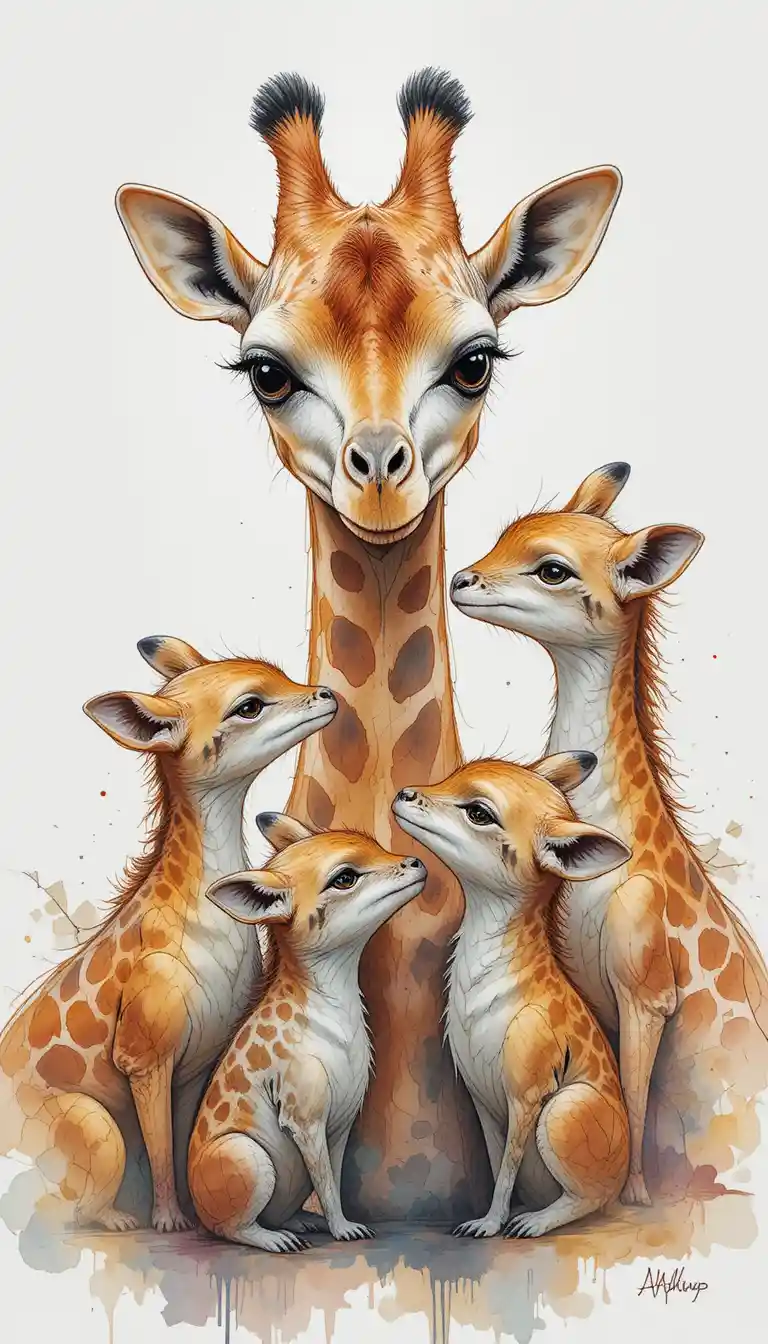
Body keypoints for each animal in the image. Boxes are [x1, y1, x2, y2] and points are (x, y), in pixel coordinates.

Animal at [0, 638, 336, 1230]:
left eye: (280, 673)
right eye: (249, 704)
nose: (327, 694)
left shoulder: (195, 1061)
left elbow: (178, 1143)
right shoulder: (144, 1055)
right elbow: (157, 1146)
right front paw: (170, 1221)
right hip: (93, 1124)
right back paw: (118, 1218)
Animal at [188, 818, 426, 1253]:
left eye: (376, 845)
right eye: (345, 877)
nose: (415, 861)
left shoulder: (339, 1122)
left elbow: (331, 1177)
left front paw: (339, 1222)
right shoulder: (304, 1117)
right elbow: (327, 1183)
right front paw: (344, 1230)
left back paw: (301, 1221)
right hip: (248, 1156)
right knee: (229, 1227)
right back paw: (275, 1238)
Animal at [393, 753, 631, 1237]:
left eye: (479, 812)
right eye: (453, 775)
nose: (405, 793)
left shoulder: (526, 1095)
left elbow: (506, 1169)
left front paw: (489, 1225)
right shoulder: (484, 1100)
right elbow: (498, 1163)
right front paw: (488, 1217)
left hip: (562, 1110)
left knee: (593, 1197)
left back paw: (537, 1221)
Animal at [451, 464, 768, 1204]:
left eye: (553, 568)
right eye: (503, 535)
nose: (462, 579)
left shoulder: (646, 989)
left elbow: (630, 1090)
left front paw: (635, 1196)